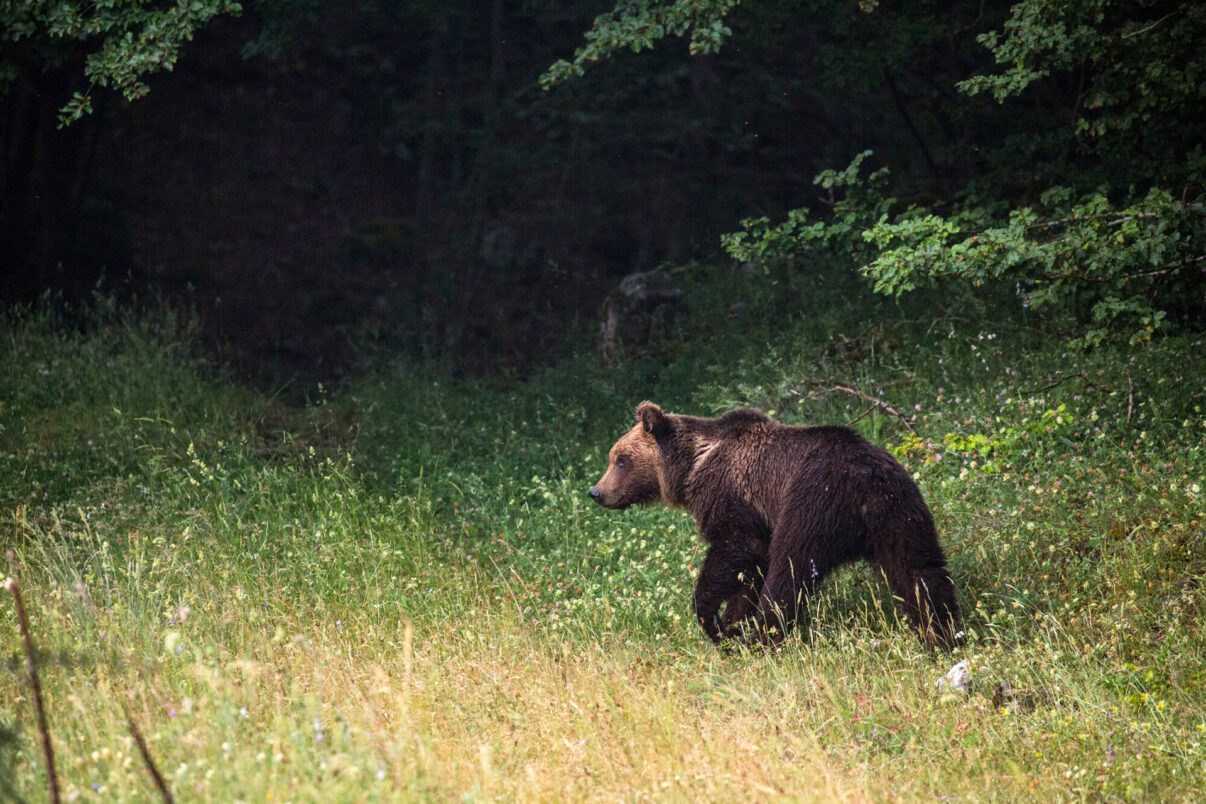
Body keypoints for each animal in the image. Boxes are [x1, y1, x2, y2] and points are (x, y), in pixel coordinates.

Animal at [588, 402, 955, 646]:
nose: (597, 492)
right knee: (920, 570)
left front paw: (714, 620)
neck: (692, 466)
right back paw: (942, 633)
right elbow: (748, 573)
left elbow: (736, 550)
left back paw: (762, 637)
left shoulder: (734, 498)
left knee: (788, 572)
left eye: (621, 459)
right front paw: (732, 622)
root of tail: (865, 480)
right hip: (901, 512)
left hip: (810, 505)